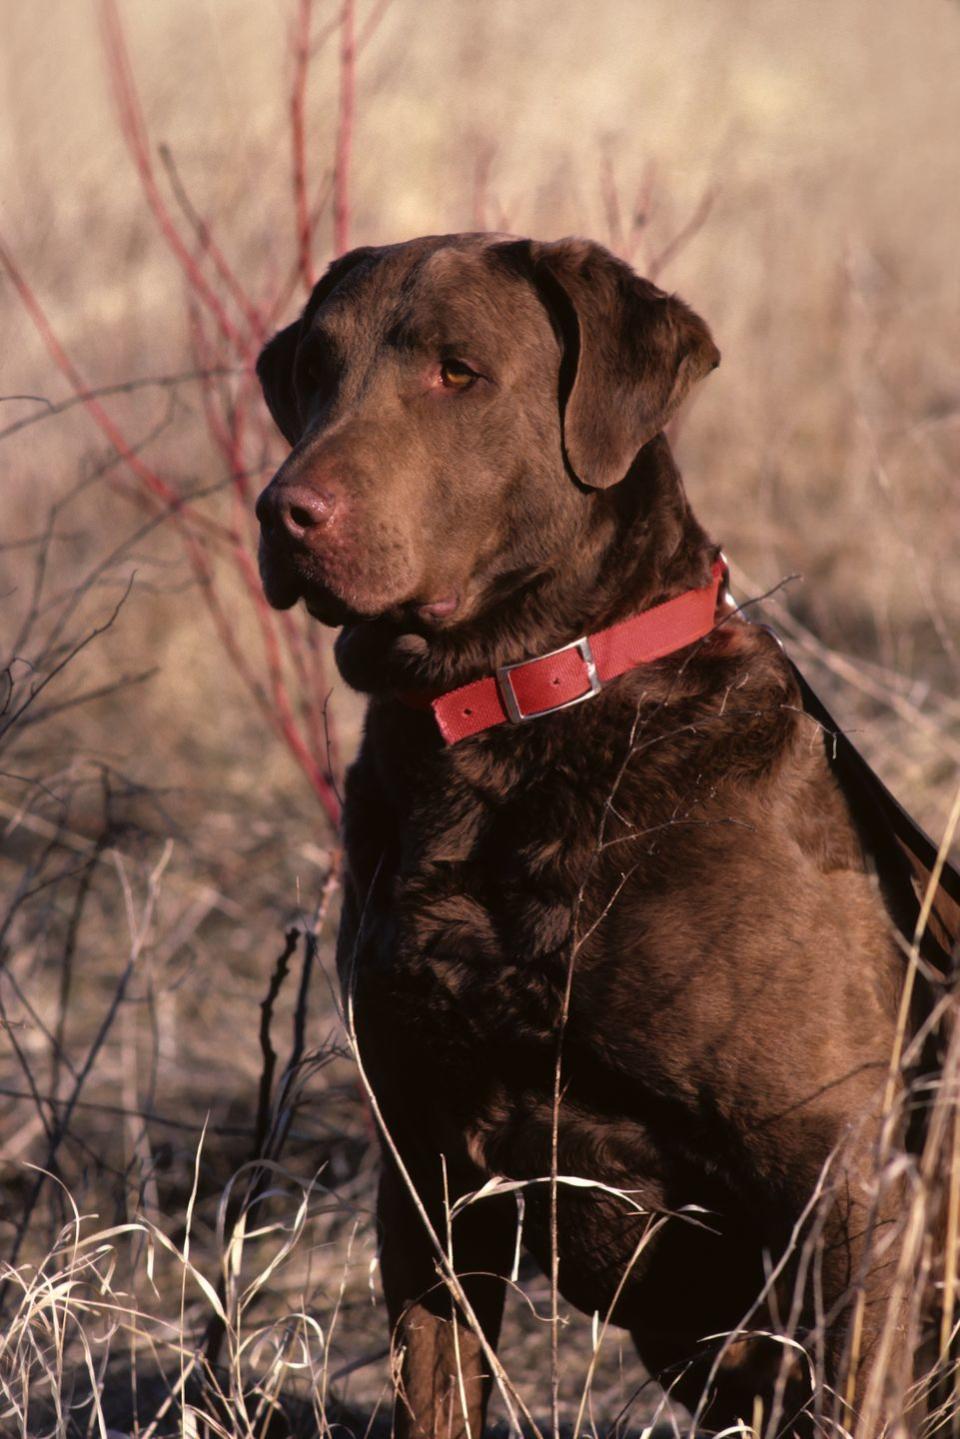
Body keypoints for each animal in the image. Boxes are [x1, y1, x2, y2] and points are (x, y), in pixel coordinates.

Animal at [254, 233, 960, 1427]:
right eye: (312, 369)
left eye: (458, 371)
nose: (281, 511)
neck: (511, 728)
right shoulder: (424, 1177)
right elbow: (435, 1390)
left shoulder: (846, 1179)